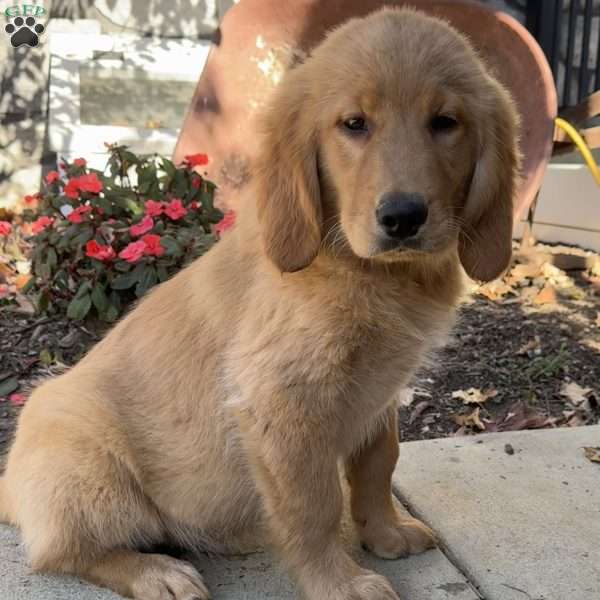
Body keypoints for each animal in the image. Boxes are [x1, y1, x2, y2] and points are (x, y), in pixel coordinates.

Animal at [0, 8, 516, 600]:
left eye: (446, 122)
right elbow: (315, 505)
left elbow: (378, 463)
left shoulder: (381, 391)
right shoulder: (282, 402)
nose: (403, 217)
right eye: (354, 124)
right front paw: (338, 582)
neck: (361, 268)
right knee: (63, 551)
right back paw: (156, 571)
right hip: (85, 463)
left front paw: (384, 534)